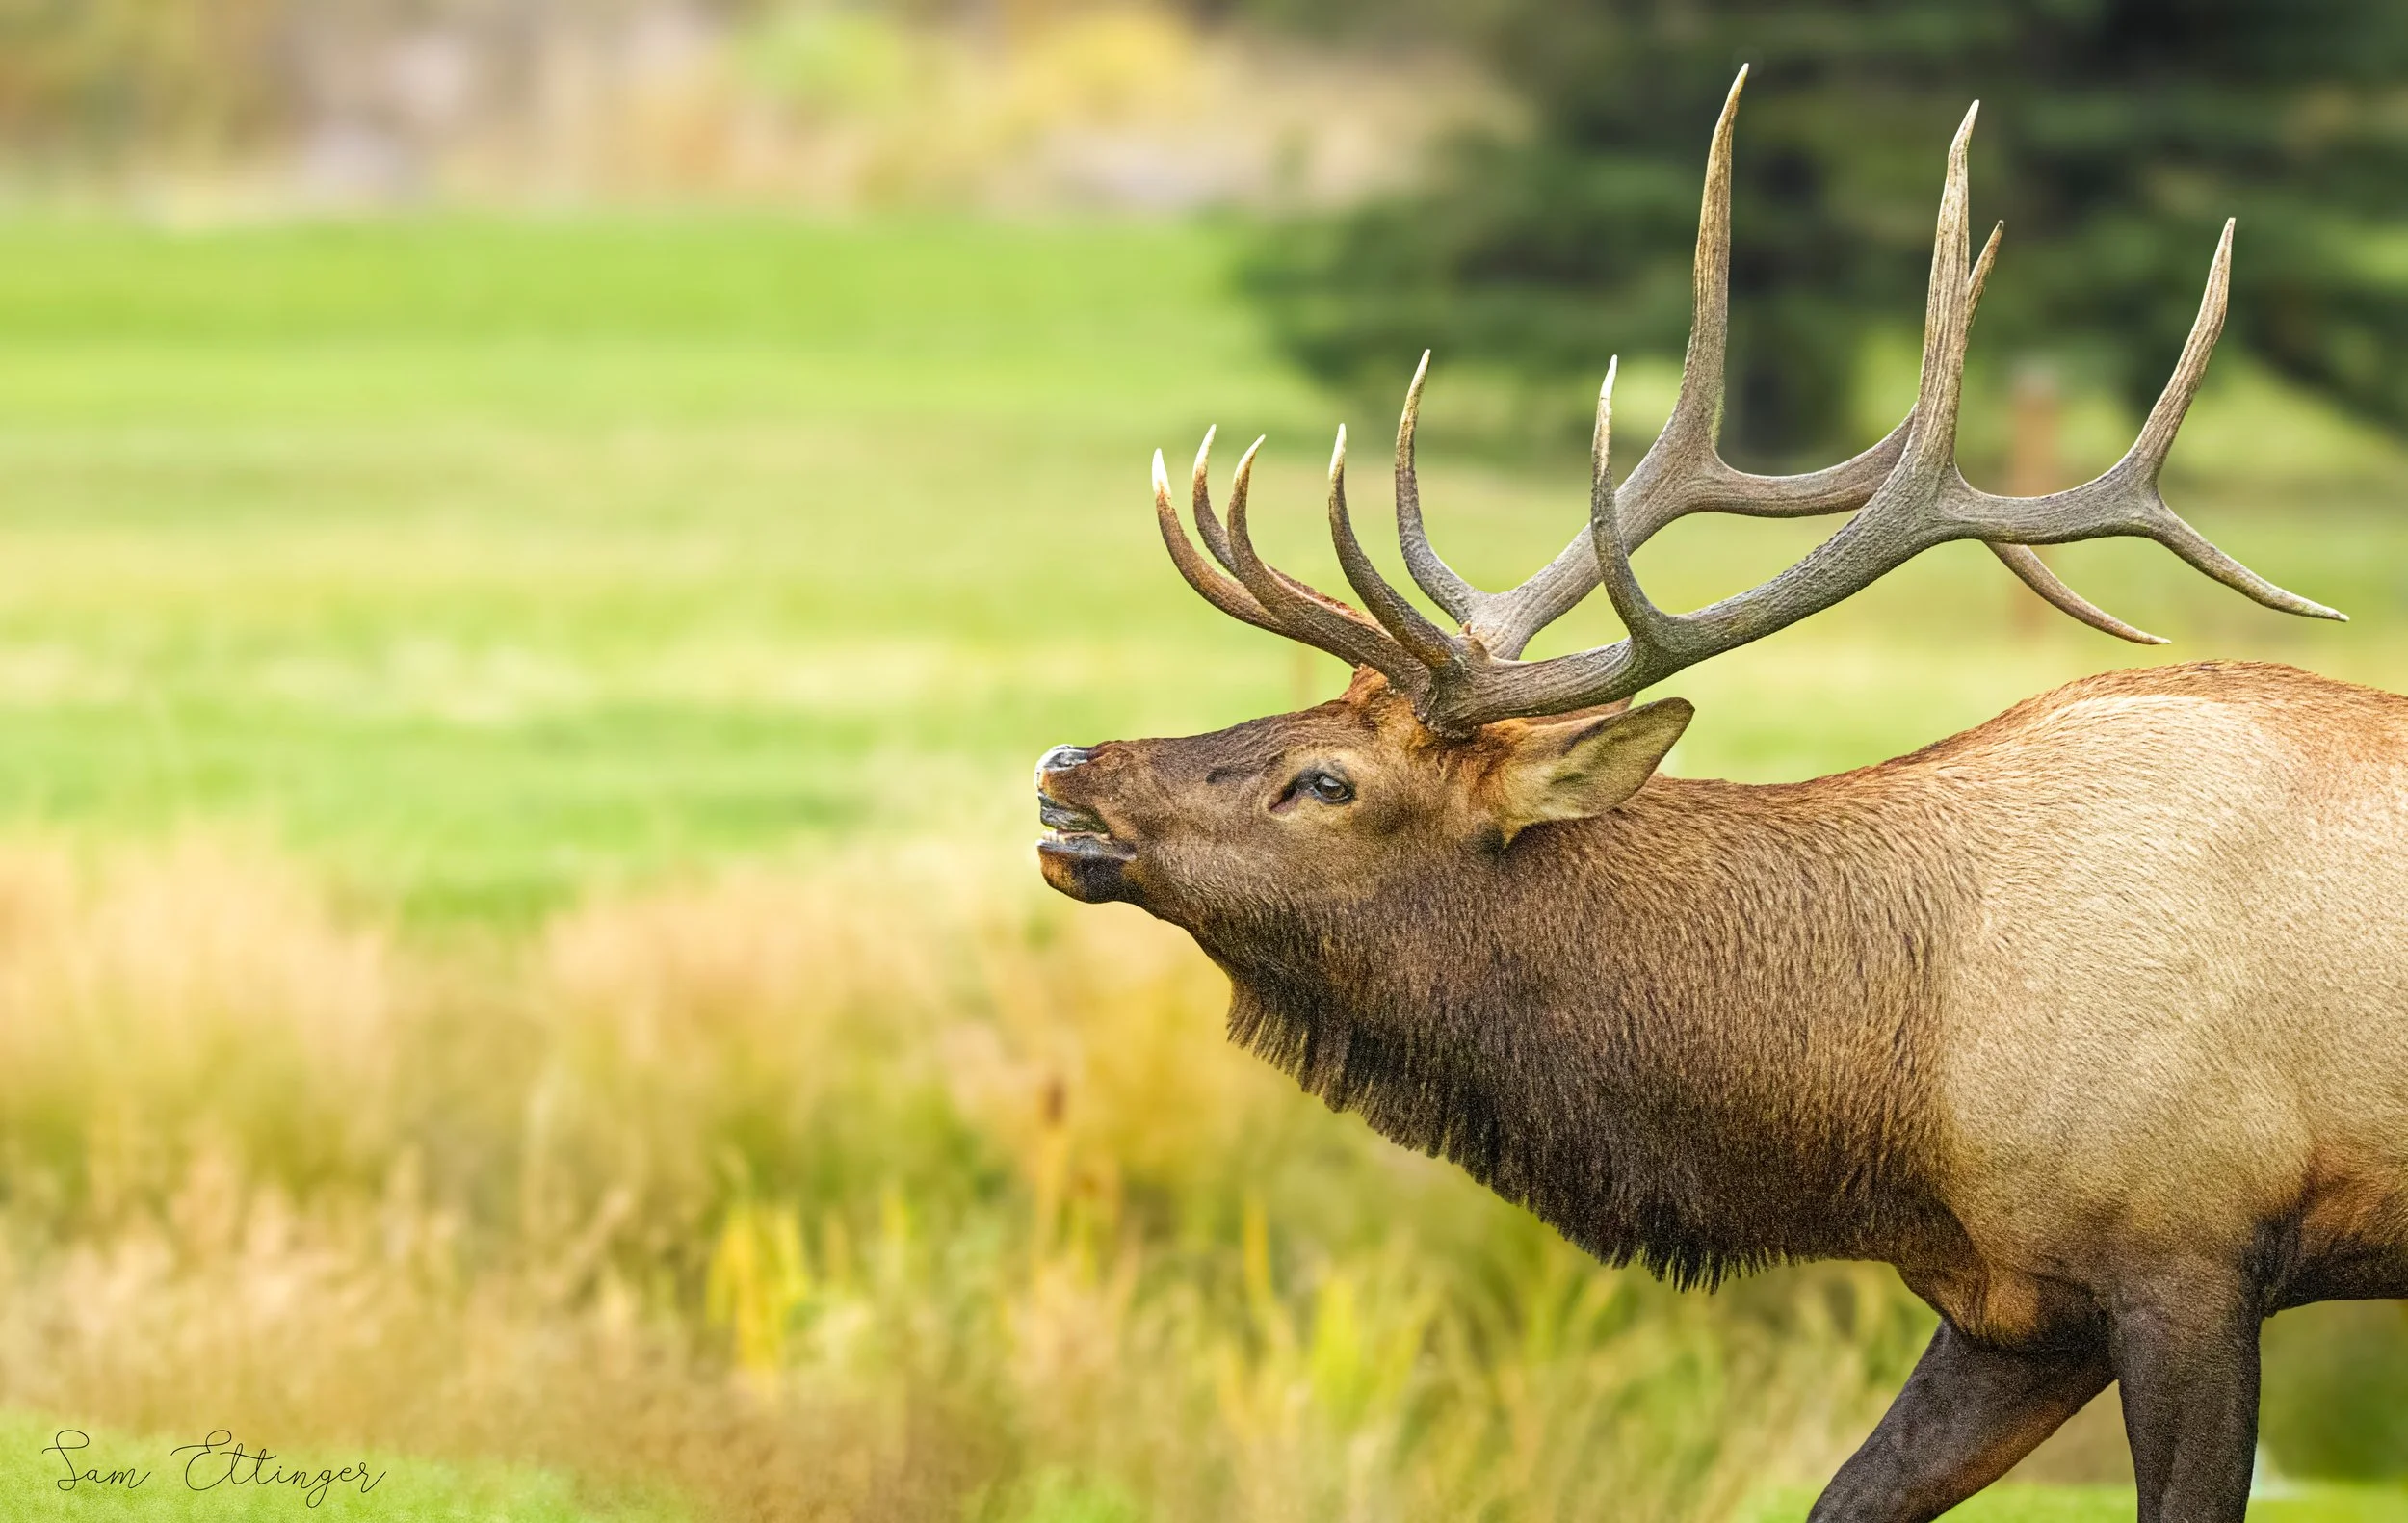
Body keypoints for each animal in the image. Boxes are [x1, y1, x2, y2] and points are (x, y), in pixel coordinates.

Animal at [1034, 67, 2405, 1523]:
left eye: (1325, 779)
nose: (1072, 769)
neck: (1892, 1087)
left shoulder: (2188, 1250)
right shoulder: (2015, 1302)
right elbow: (1846, 1496)